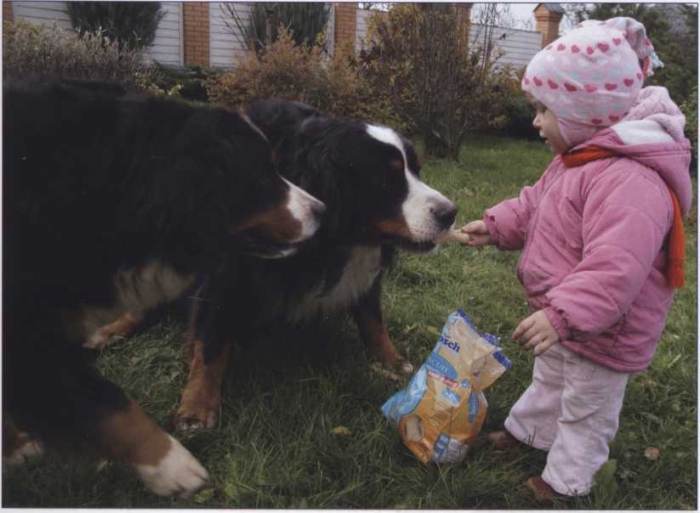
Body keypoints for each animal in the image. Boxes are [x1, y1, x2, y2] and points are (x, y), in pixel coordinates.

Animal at [174, 98, 460, 430]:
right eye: (387, 180)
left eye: (417, 170)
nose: (450, 212)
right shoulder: (230, 271)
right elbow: (212, 341)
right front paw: (197, 404)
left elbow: (373, 319)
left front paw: (390, 359)